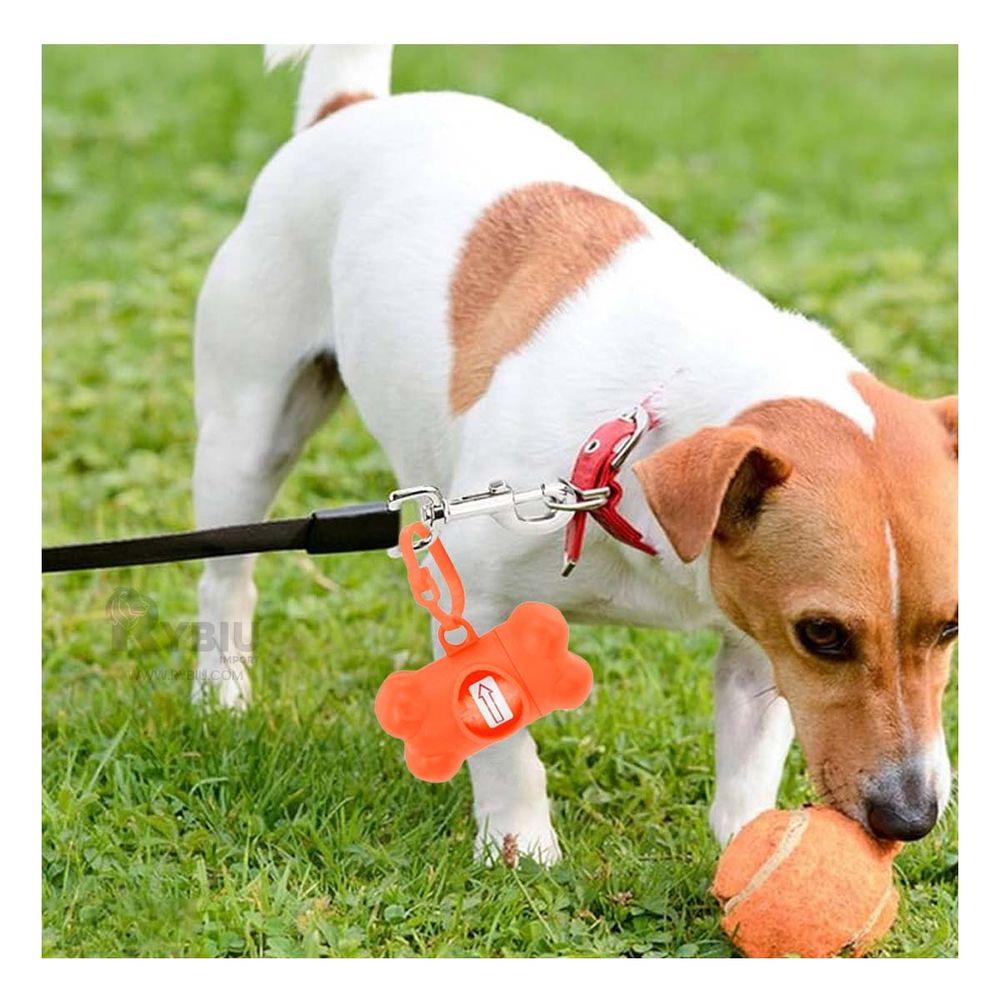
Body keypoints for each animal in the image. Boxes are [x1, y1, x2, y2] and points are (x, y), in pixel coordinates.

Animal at [191, 43, 956, 864]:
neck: (626, 472)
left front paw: (752, 846)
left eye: (954, 625)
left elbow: (748, 760)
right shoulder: (476, 599)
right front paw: (519, 845)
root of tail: (352, 107)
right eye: (825, 634)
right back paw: (221, 693)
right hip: (248, 430)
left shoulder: (754, 632)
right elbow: (502, 738)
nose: (911, 818)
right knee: (226, 576)